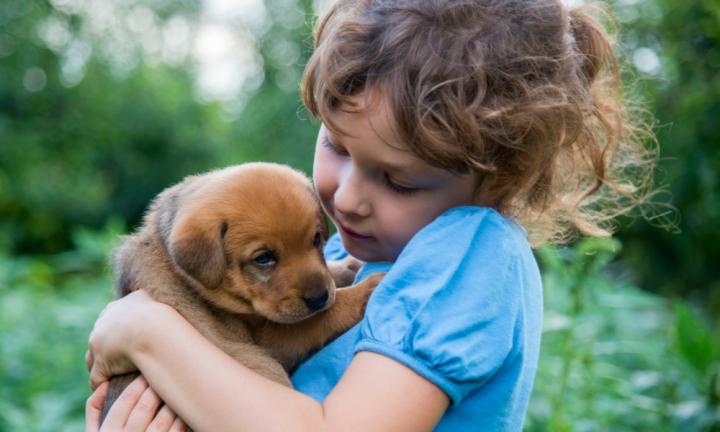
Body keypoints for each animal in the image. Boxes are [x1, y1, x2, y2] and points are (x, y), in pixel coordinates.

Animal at [101, 164, 382, 424]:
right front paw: (365, 290)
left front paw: (346, 267)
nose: (318, 297)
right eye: (264, 258)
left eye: (316, 239)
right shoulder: (271, 340)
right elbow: (323, 317)